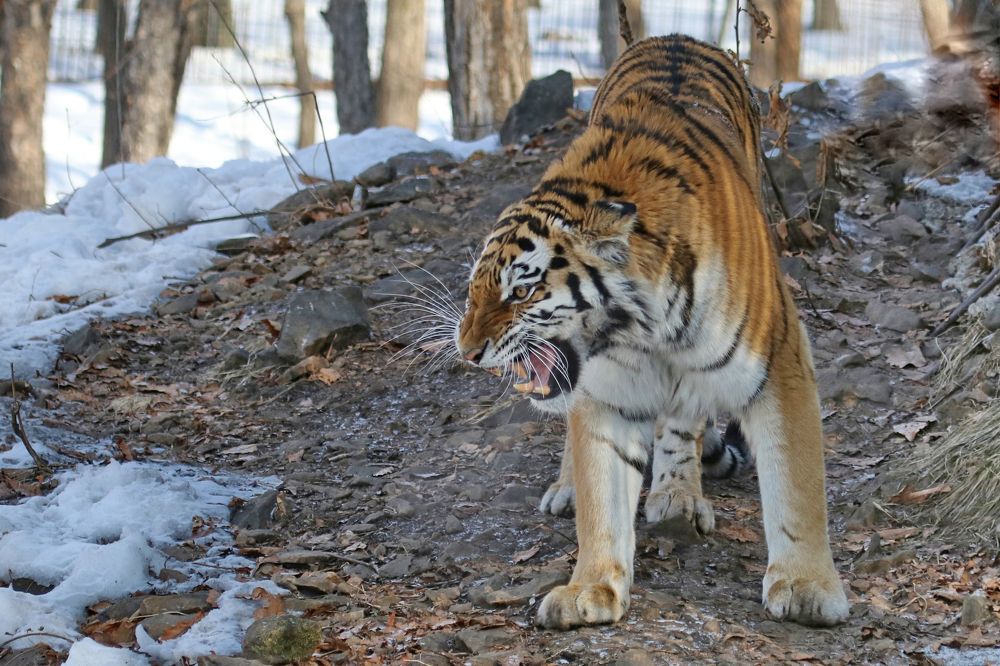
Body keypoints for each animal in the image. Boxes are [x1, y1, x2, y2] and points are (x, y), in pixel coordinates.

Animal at [454, 33, 849, 629]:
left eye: (519, 292)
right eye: (475, 288)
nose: (468, 351)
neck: (642, 328)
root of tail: (675, 37)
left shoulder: (780, 362)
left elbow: (798, 488)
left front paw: (806, 587)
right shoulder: (604, 392)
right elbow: (602, 493)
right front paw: (591, 588)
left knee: (684, 421)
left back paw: (678, 496)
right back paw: (570, 489)